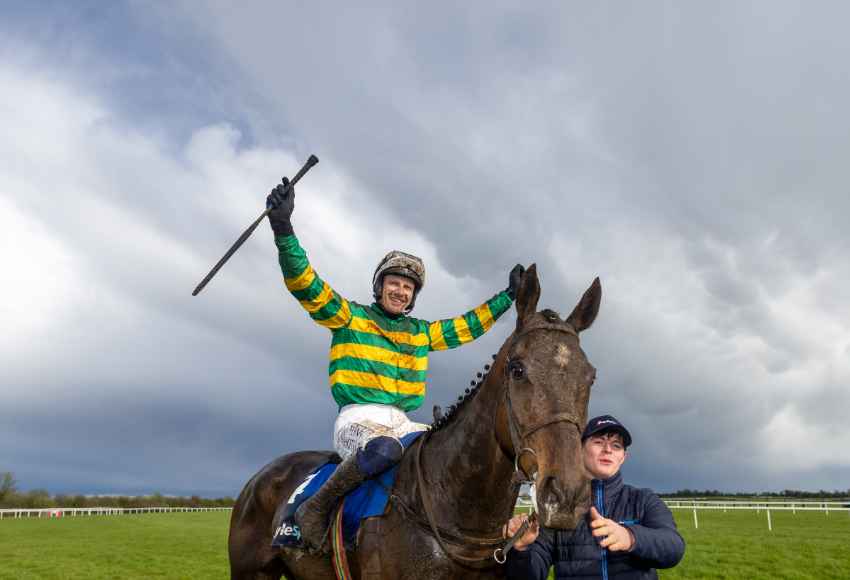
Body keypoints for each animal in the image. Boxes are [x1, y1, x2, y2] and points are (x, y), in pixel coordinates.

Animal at [230, 268, 604, 580]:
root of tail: (261, 475)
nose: (566, 497)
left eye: (591, 376)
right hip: (251, 572)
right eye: (518, 369)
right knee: (381, 447)